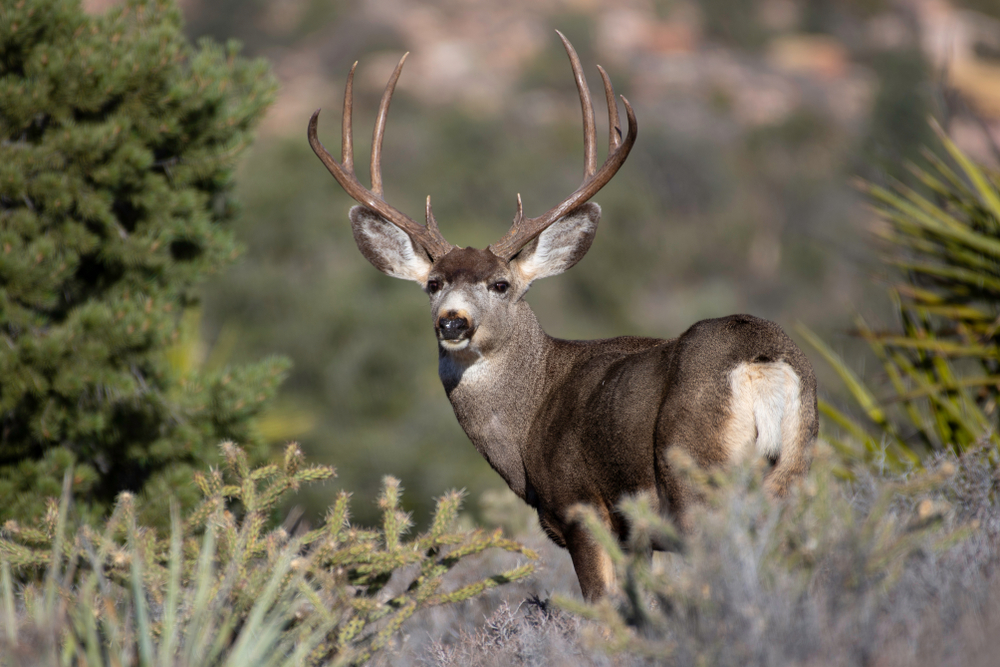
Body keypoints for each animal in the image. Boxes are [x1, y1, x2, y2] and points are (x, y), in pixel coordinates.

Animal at [307, 32, 819, 601]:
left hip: (694, 479)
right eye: (433, 284)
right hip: (792, 474)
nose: (453, 322)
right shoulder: (635, 536)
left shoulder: (581, 508)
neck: (529, 416)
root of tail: (761, 362)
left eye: (501, 284)